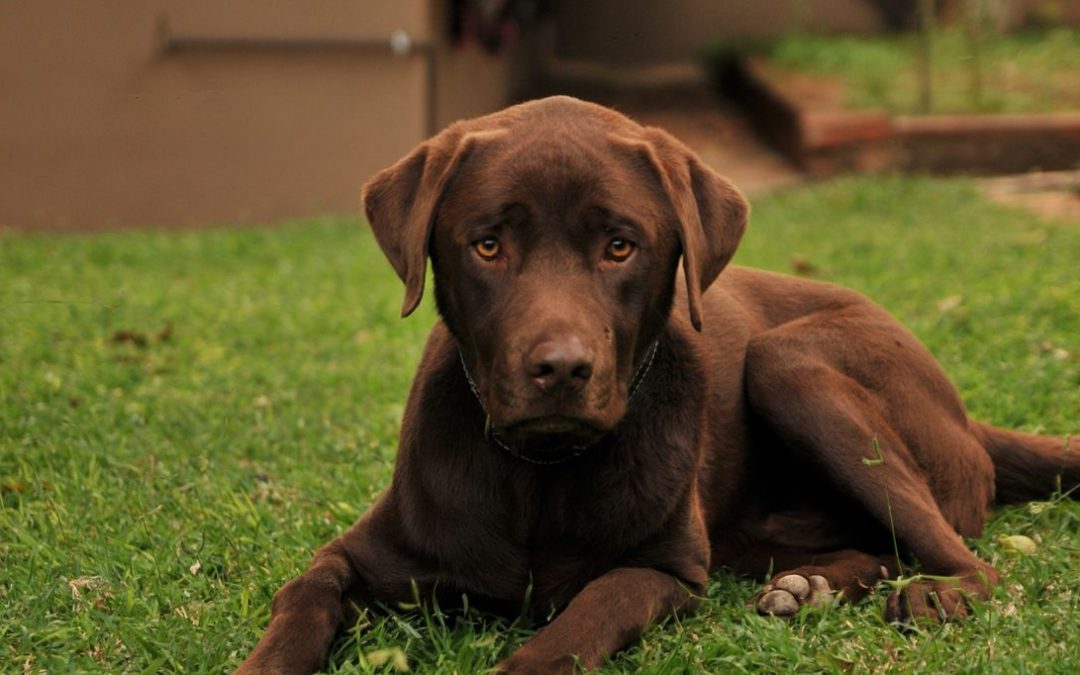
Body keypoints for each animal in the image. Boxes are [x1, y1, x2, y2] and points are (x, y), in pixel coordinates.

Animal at [238, 96, 1080, 673]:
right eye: (488, 245)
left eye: (620, 246)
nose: (562, 367)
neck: (540, 477)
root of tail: (967, 417)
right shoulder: (358, 554)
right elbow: (302, 596)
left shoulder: (666, 570)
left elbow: (586, 611)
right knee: (879, 545)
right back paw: (808, 584)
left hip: (790, 363)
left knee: (966, 558)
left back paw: (929, 592)